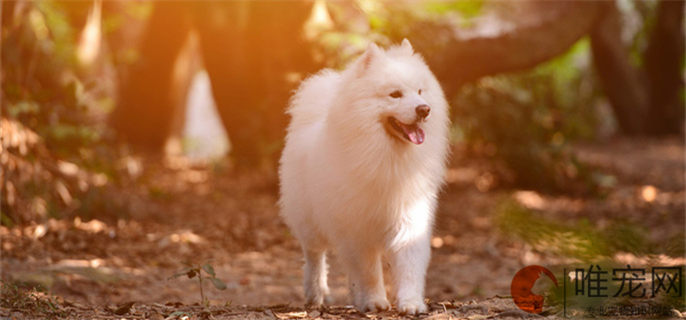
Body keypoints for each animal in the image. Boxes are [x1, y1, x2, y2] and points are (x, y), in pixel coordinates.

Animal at [280, 40, 452, 316]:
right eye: (395, 94)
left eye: (420, 91)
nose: (424, 109)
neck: (386, 159)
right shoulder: (358, 229)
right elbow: (368, 271)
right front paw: (374, 301)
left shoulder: (410, 216)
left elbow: (410, 266)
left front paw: (411, 303)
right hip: (310, 222)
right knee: (315, 256)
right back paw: (315, 293)